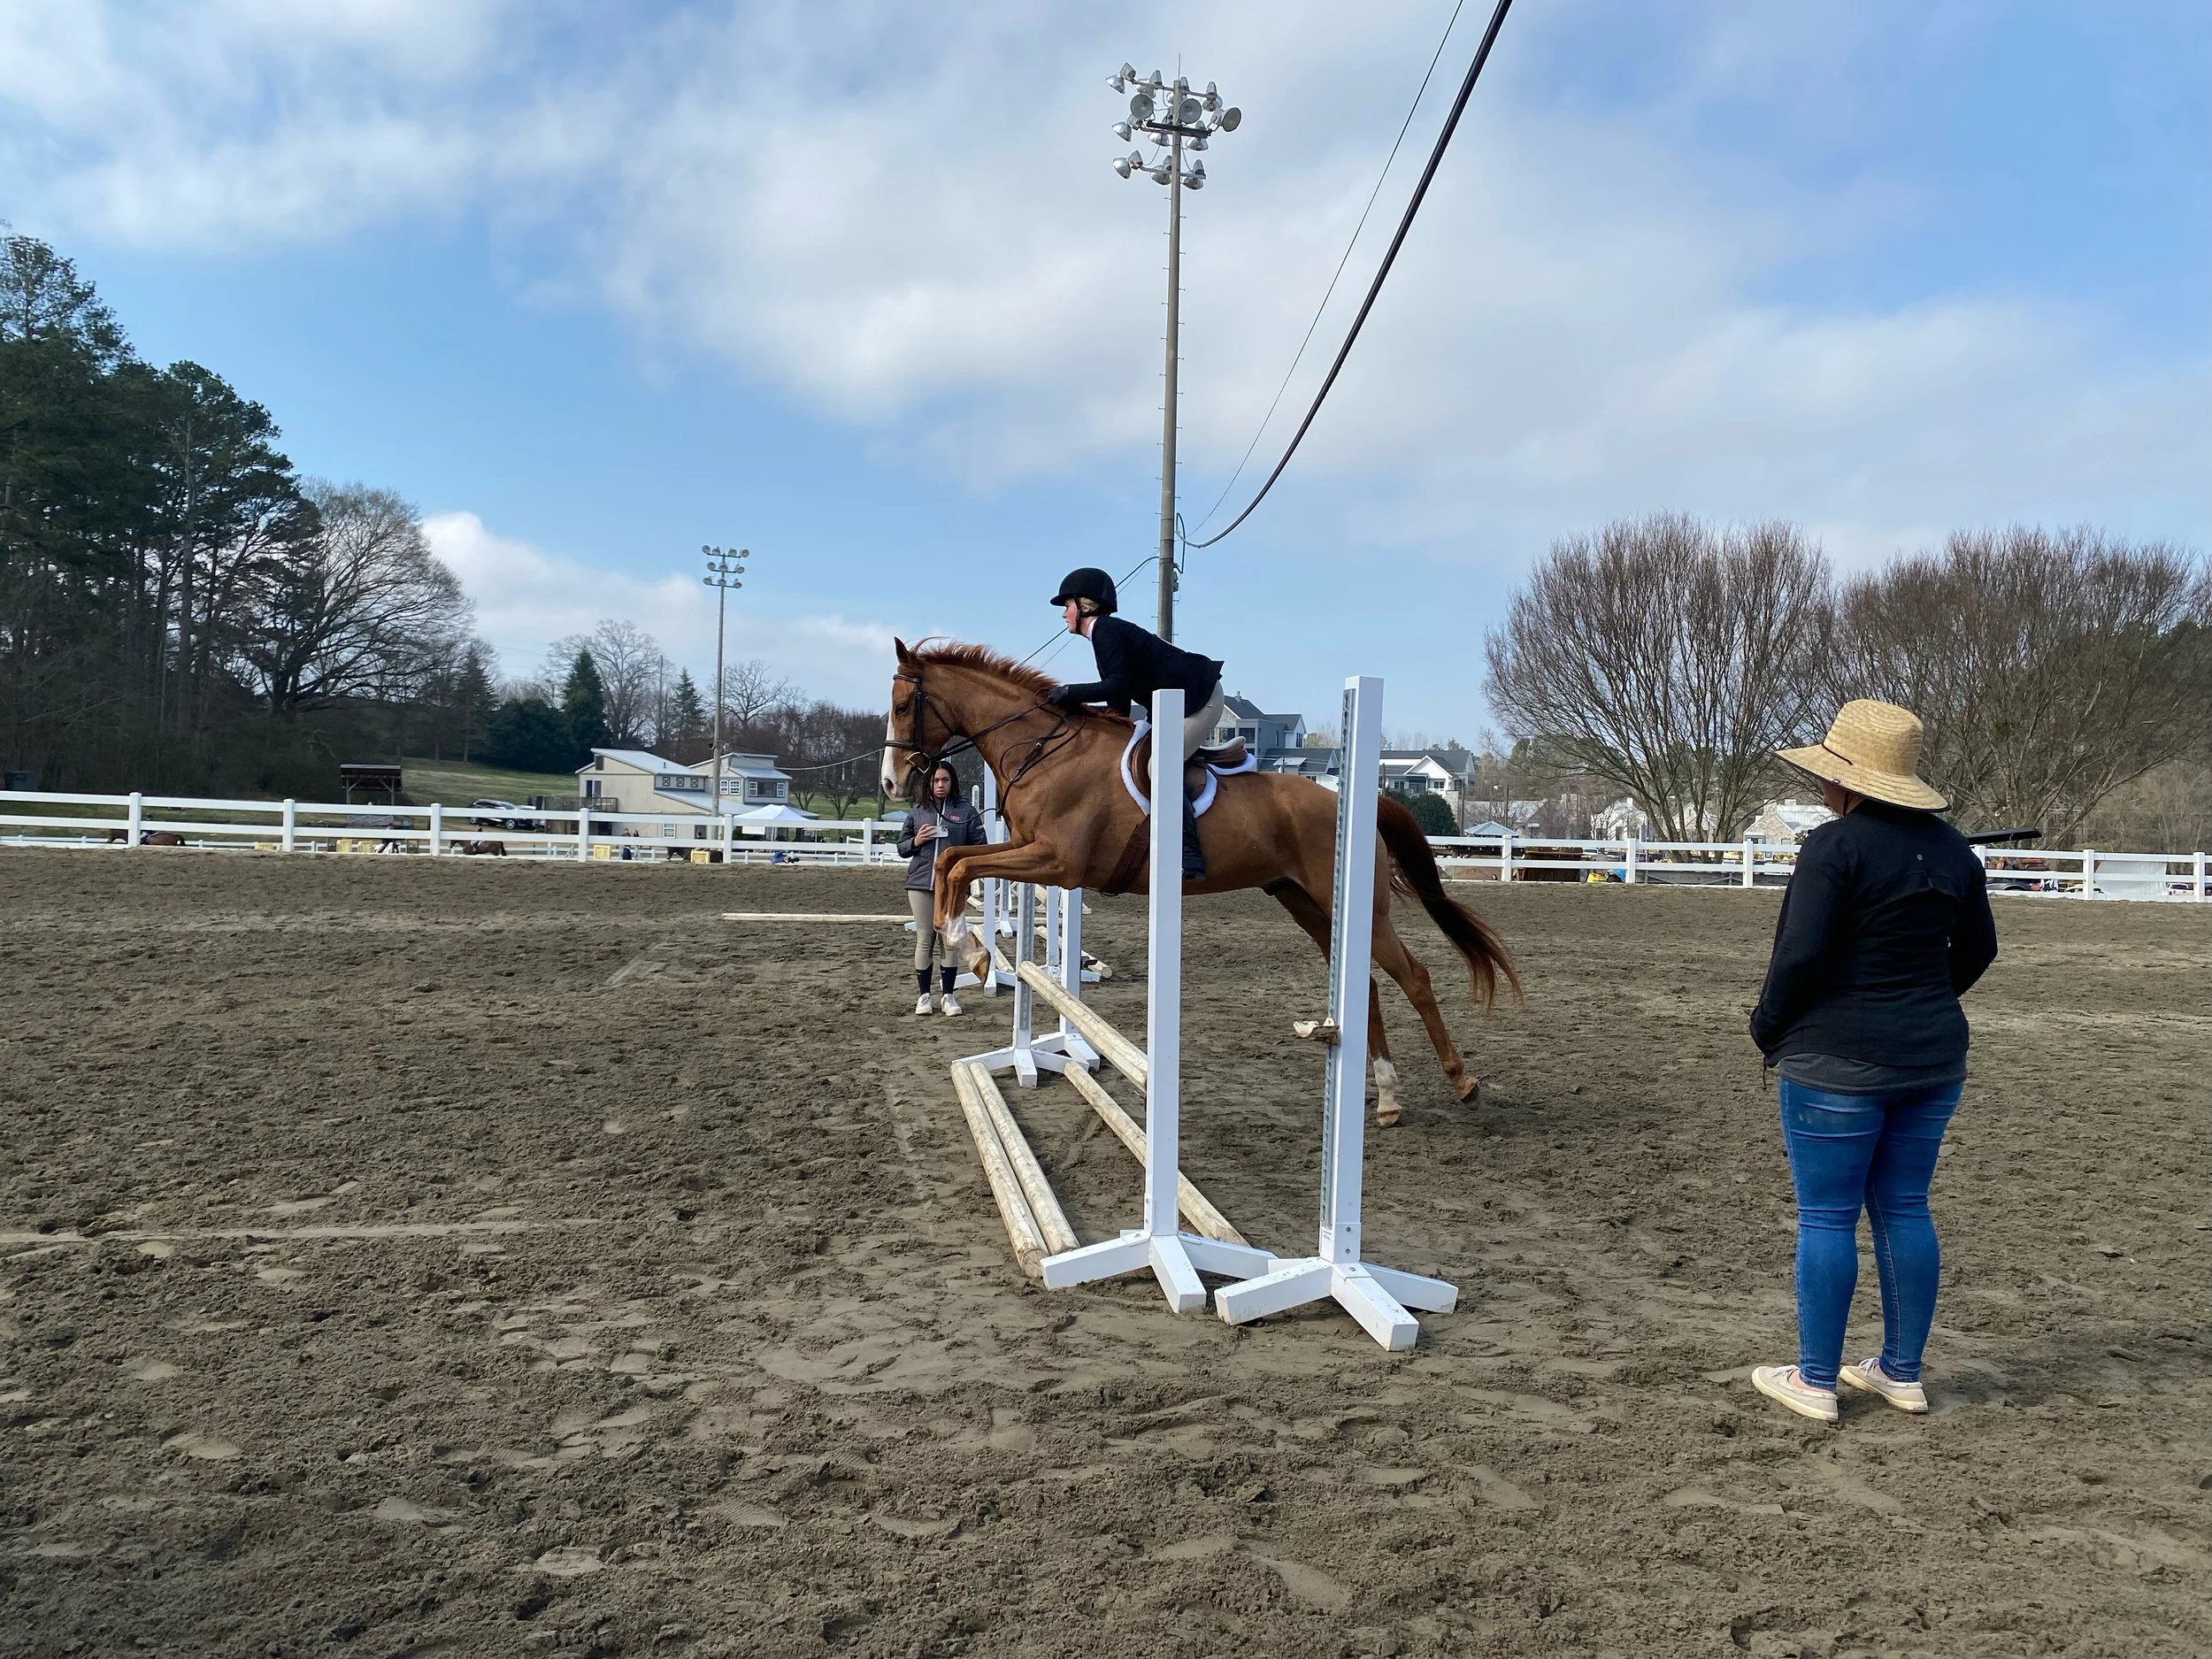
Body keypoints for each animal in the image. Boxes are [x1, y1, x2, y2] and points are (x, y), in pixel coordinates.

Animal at [881, 639, 1517, 1124]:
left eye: (904, 704)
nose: (891, 783)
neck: (1044, 750)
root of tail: (1359, 801)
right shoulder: (1025, 848)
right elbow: (951, 859)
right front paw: (969, 951)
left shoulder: (1058, 862)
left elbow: (961, 864)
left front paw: (969, 951)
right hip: (1306, 905)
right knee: (1368, 986)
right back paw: (1385, 1095)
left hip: (1358, 909)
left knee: (1414, 976)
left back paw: (1462, 1082)